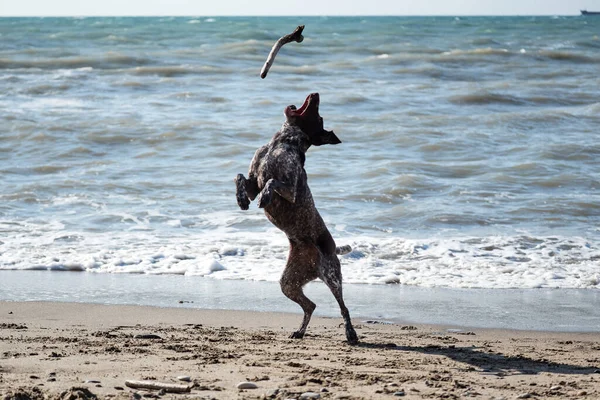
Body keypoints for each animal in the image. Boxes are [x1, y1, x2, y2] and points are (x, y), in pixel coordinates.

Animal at [233, 93, 356, 344]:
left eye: (319, 116)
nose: (316, 93)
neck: (282, 142)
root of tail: (332, 248)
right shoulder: (252, 183)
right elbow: (239, 177)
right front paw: (241, 200)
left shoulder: (290, 189)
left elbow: (272, 182)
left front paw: (265, 198)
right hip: (288, 282)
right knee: (310, 306)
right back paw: (299, 331)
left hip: (332, 276)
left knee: (343, 307)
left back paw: (351, 333)